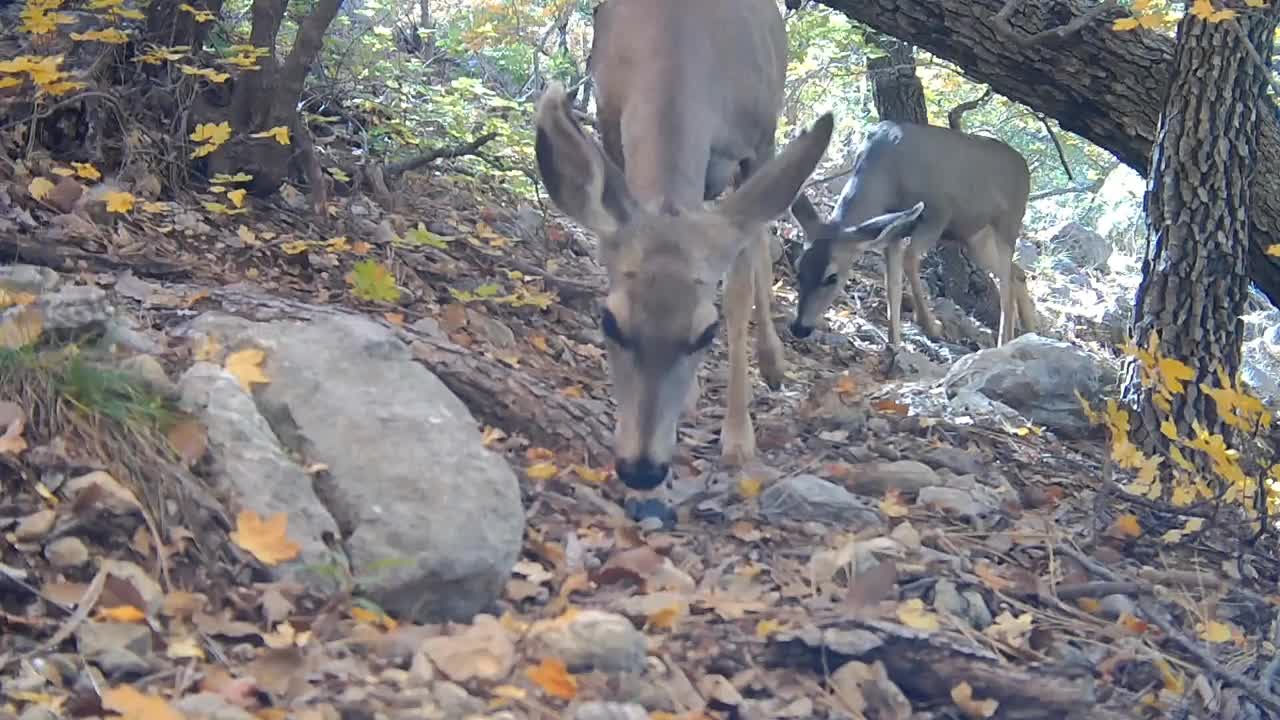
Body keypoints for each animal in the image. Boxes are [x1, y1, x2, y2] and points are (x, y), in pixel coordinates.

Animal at [529, 0, 829, 486]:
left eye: (705, 333)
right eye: (609, 322)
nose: (642, 469)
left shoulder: (756, 143)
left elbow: (739, 290)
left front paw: (738, 437)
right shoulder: (611, 121)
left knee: (762, 244)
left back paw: (773, 360)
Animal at [783, 119, 1034, 348]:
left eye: (832, 277)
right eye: (798, 267)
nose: (799, 328)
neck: (888, 176)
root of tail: (1024, 166)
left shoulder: (937, 214)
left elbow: (910, 259)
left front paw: (931, 326)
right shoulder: (894, 230)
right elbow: (891, 282)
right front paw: (894, 343)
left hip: (1008, 223)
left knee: (1005, 280)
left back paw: (1006, 340)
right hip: (975, 238)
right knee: (1015, 273)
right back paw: (1028, 330)